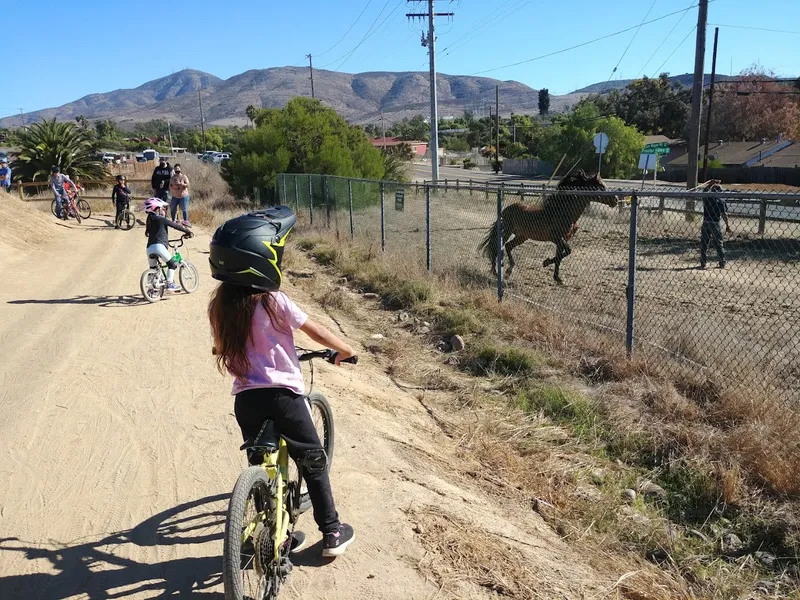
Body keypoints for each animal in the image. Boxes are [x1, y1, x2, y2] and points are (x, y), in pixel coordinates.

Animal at [478, 170, 616, 284]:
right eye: (601, 187)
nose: (615, 200)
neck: (563, 212)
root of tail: (506, 209)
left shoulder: (562, 239)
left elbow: (560, 256)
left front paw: (558, 278)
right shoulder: (556, 238)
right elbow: (567, 251)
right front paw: (546, 263)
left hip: (522, 236)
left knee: (508, 246)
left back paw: (508, 270)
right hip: (507, 231)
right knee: (497, 246)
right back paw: (496, 272)